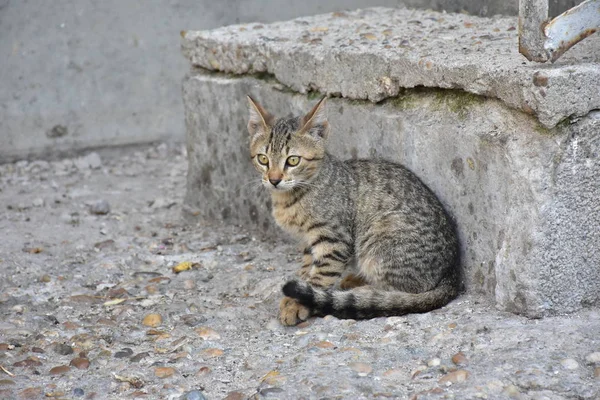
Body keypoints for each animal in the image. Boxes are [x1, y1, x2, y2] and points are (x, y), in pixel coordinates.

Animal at [245, 94, 460, 324]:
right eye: (263, 159)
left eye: (293, 160)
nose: (274, 180)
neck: (290, 198)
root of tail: (451, 272)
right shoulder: (306, 241)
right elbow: (306, 268)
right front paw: (299, 286)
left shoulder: (333, 239)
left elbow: (320, 275)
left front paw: (297, 303)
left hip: (379, 240)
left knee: (404, 291)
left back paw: (362, 293)